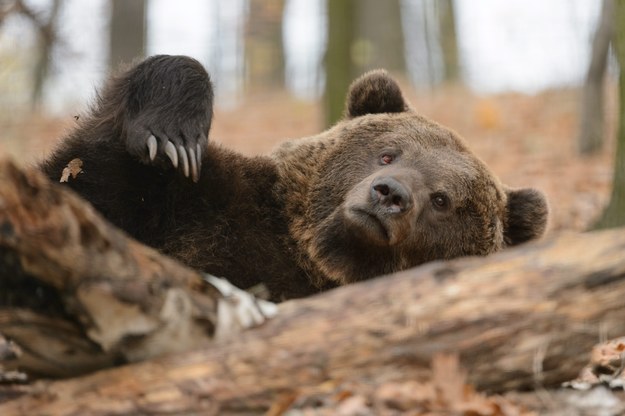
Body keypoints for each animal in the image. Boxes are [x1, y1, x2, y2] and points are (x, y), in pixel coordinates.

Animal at [37, 55, 544, 302]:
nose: (389, 194)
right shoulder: (202, 201)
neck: (314, 256)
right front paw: (171, 137)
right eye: (387, 153)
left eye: (443, 200)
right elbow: (94, 177)